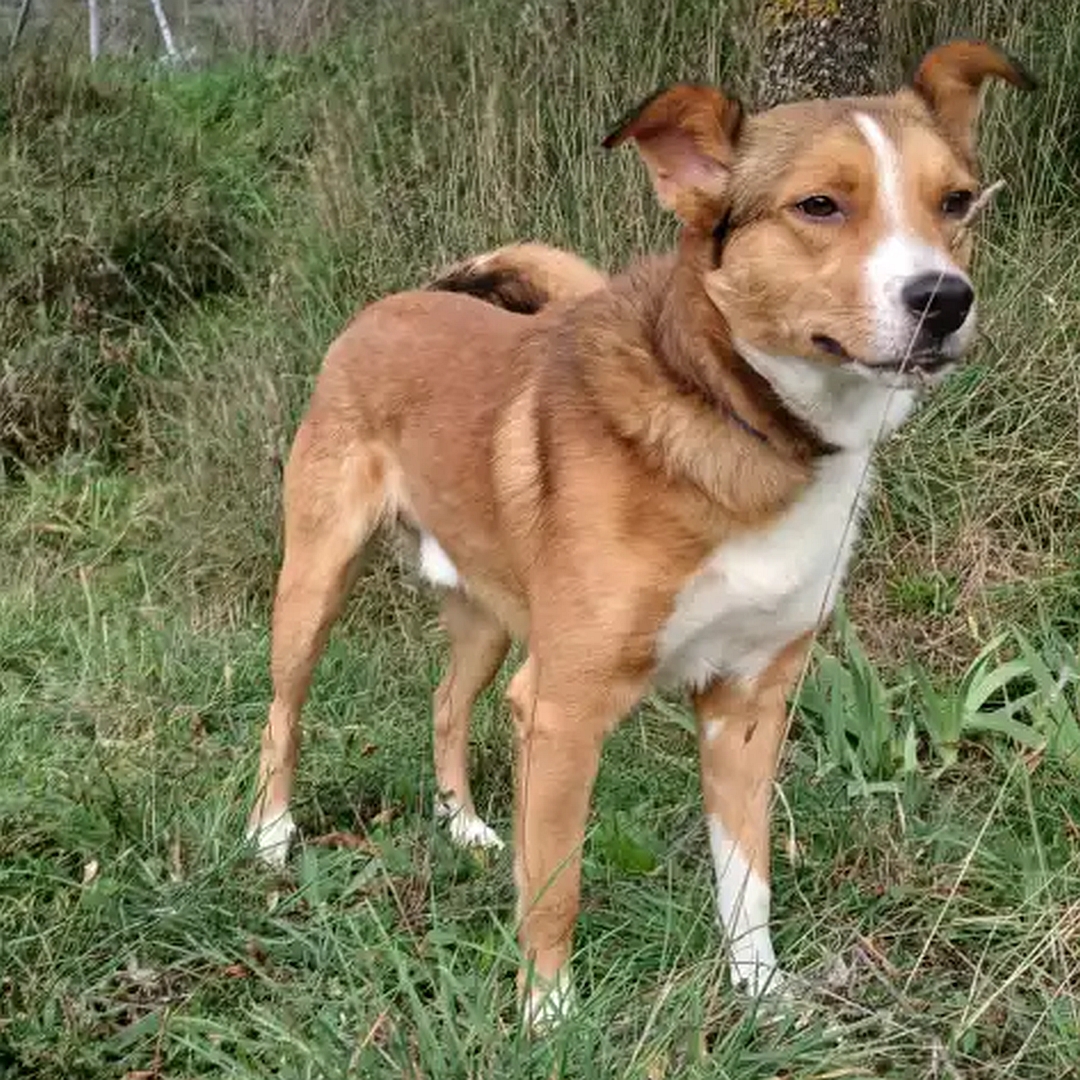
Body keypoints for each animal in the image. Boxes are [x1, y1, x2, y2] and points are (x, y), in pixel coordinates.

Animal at [248, 39, 1032, 1019]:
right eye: (819, 205)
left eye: (955, 201)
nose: (945, 300)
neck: (743, 423)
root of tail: (399, 300)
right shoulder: (563, 709)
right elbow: (556, 884)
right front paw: (547, 1016)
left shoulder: (746, 708)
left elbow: (747, 879)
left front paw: (760, 995)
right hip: (315, 585)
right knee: (282, 713)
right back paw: (270, 840)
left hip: (488, 618)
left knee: (445, 703)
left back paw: (464, 826)